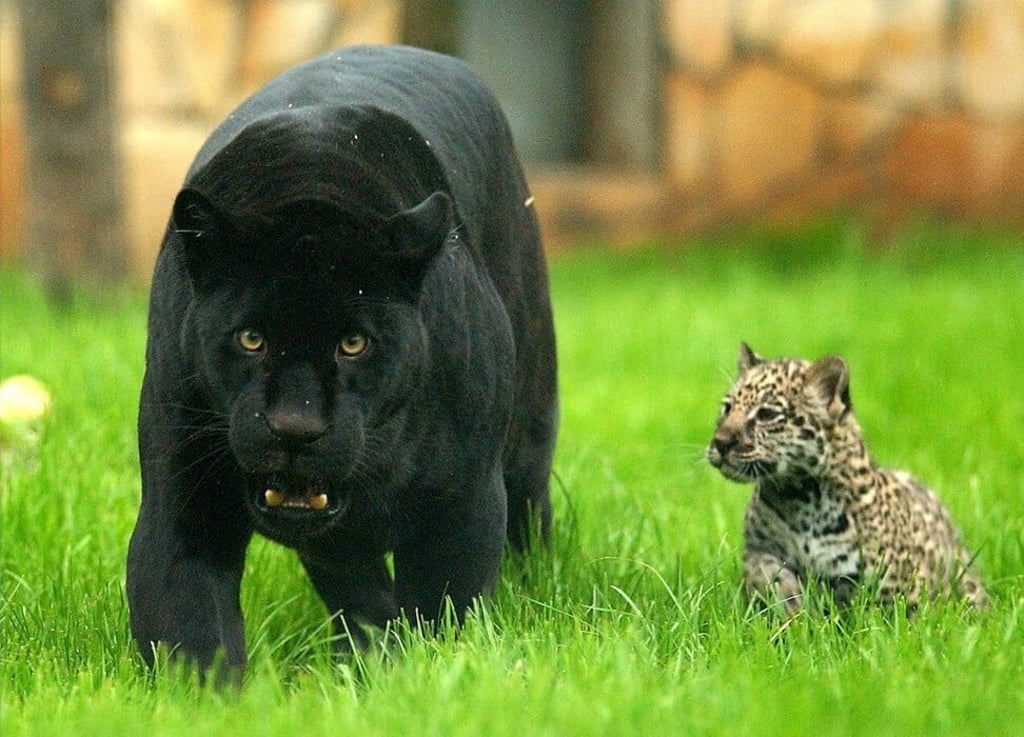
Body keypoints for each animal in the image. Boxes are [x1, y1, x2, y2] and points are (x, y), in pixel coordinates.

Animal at [707, 342, 988, 616]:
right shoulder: (759, 549)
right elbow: (766, 573)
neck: (799, 497)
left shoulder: (897, 583)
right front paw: (793, 607)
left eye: (766, 414)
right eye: (727, 408)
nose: (720, 443)